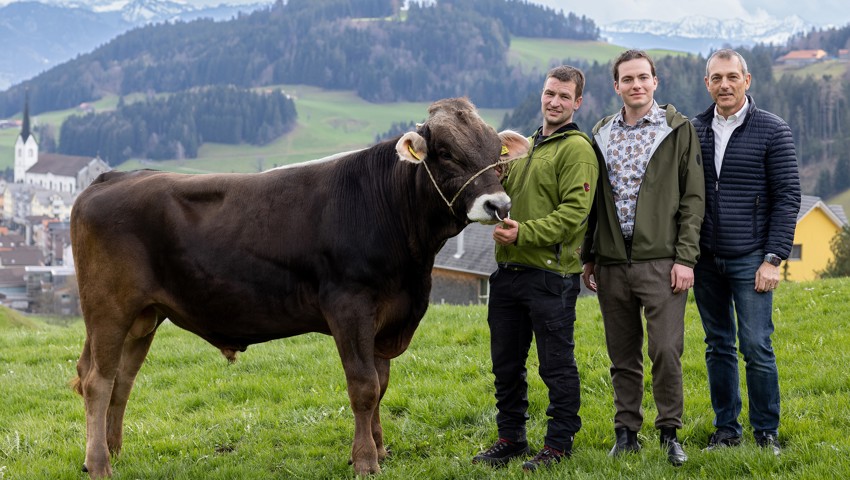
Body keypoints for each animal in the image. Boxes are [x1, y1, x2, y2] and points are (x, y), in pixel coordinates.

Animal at [69, 97, 528, 476]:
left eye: (496, 151)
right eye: (446, 153)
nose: (499, 205)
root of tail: (111, 177)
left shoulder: (389, 315)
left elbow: (381, 384)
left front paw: (380, 449)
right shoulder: (350, 307)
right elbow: (363, 386)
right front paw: (365, 460)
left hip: (144, 315)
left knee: (122, 380)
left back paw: (112, 451)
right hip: (108, 307)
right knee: (97, 381)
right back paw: (100, 465)